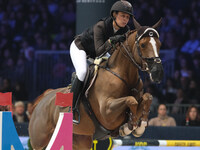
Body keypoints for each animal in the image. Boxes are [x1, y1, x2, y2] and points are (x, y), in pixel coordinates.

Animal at [29, 17, 164, 150]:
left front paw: (140, 125)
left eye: (159, 44)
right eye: (143, 44)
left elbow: (147, 97)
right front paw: (131, 125)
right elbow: (131, 100)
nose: (157, 72)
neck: (123, 75)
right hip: (40, 142)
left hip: (81, 140)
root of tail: (43, 99)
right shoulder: (106, 111)